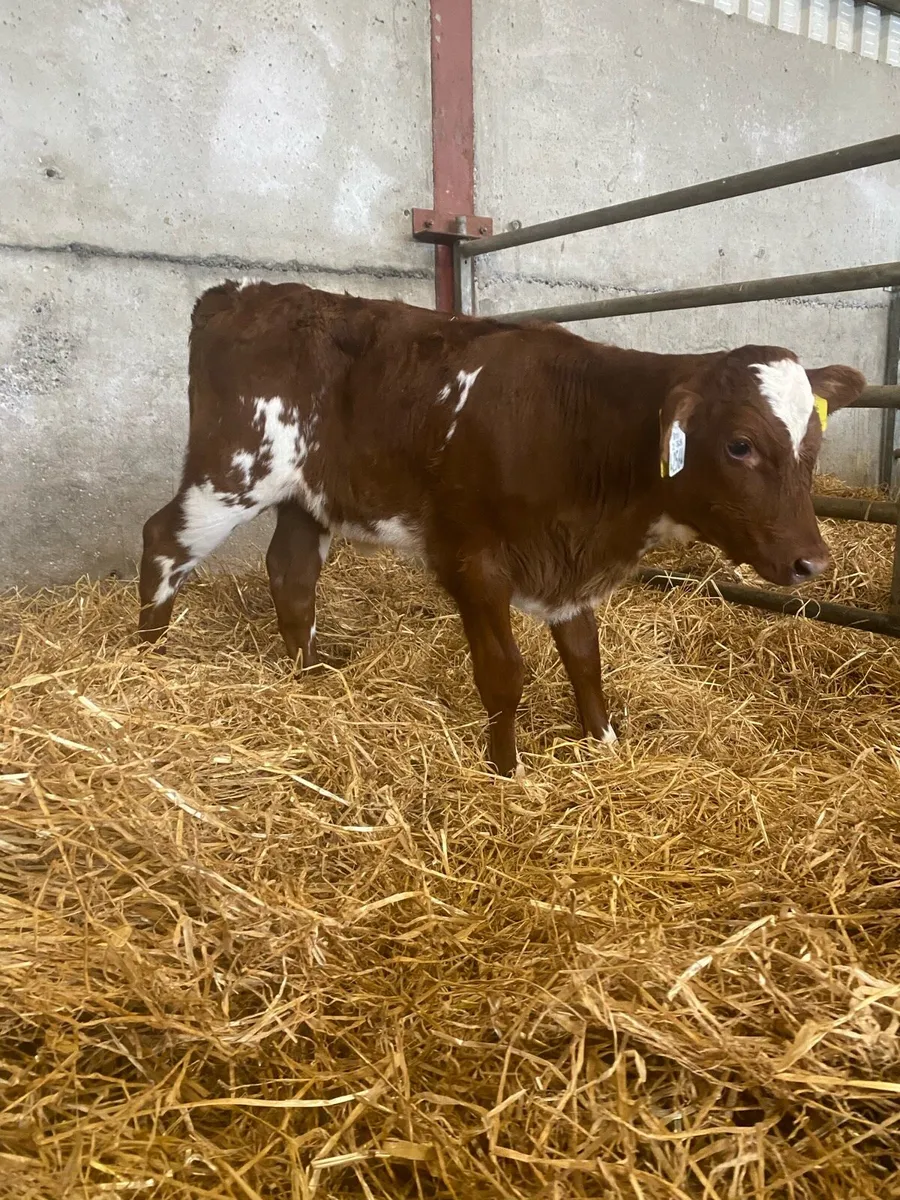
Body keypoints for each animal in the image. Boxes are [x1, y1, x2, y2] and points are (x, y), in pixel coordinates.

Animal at [137, 281, 865, 775]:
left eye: (813, 444)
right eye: (740, 445)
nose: (812, 563)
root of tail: (242, 292)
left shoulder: (568, 564)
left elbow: (584, 657)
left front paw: (603, 741)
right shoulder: (472, 561)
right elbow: (504, 672)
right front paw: (506, 768)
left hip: (305, 495)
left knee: (291, 575)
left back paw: (308, 676)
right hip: (231, 470)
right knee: (163, 540)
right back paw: (145, 661)